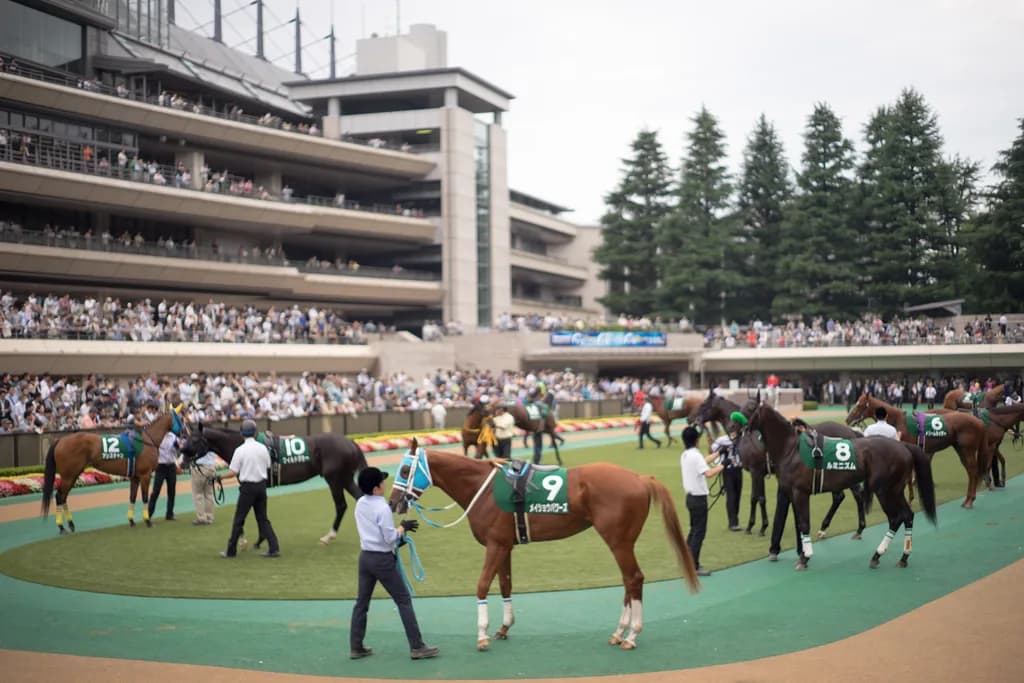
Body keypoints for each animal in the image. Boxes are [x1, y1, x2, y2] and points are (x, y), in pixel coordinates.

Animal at [41, 407, 186, 533]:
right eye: (180, 418)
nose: (185, 432)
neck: (146, 441)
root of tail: (60, 440)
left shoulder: (135, 477)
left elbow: (132, 497)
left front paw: (131, 520)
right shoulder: (145, 475)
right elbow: (145, 497)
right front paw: (147, 521)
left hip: (73, 475)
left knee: (63, 497)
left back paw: (71, 524)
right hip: (68, 476)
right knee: (59, 496)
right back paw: (61, 527)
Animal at [180, 424, 366, 545]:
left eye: (194, 440)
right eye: (185, 438)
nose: (181, 462)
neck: (242, 444)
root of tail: (351, 442)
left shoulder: (249, 483)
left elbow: (247, 511)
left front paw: (243, 539)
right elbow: (257, 511)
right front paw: (259, 539)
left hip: (334, 479)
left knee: (341, 505)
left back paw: (329, 536)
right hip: (345, 478)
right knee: (359, 498)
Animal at [389, 437, 700, 651]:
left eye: (404, 469)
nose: (392, 502)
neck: (483, 488)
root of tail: (640, 477)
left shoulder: (495, 545)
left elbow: (482, 585)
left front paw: (481, 634)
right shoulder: (505, 545)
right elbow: (505, 584)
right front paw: (504, 627)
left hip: (619, 541)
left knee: (634, 578)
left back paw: (632, 635)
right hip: (621, 542)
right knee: (628, 580)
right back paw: (619, 632)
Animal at [746, 402, 936, 570]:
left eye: (749, 409)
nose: (743, 430)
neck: (792, 448)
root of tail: (903, 446)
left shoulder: (800, 493)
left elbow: (804, 524)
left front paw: (805, 558)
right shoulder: (793, 493)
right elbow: (799, 522)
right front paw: (800, 552)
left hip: (885, 491)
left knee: (896, 518)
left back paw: (878, 554)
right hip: (895, 491)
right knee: (907, 515)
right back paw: (902, 557)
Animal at [846, 393, 990, 508]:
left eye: (860, 405)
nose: (847, 419)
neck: (899, 421)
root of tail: (979, 421)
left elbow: (908, 478)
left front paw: (909, 499)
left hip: (968, 450)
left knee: (973, 471)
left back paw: (970, 500)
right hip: (960, 449)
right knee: (970, 471)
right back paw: (968, 499)